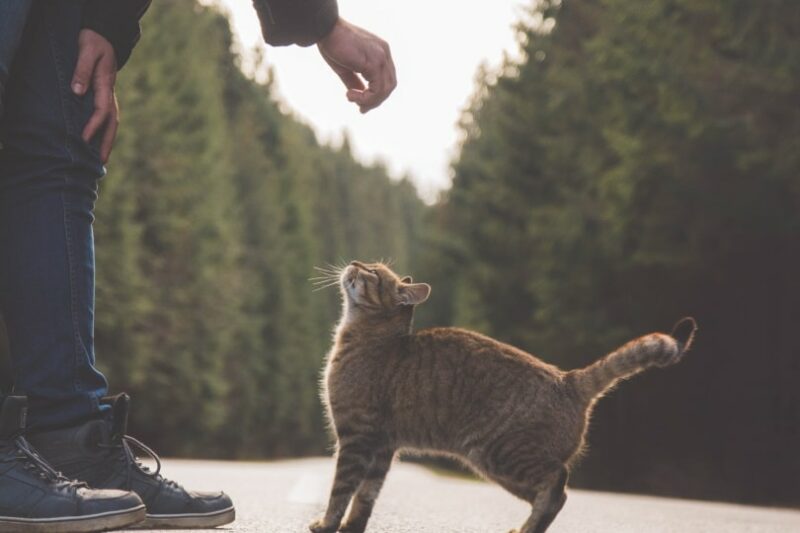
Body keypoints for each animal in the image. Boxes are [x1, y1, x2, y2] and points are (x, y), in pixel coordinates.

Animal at [310, 260, 696, 528]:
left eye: (372, 272)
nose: (354, 262)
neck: (370, 337)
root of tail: (569, 379)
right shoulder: (383, 446)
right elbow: (366, 497)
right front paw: (350, 528)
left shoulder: (357, 437)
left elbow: (341, 490)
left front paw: (327, 524)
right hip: (498, 467)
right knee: (555, 494)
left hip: (500, 453)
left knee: (557, 484)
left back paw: (528, 528)